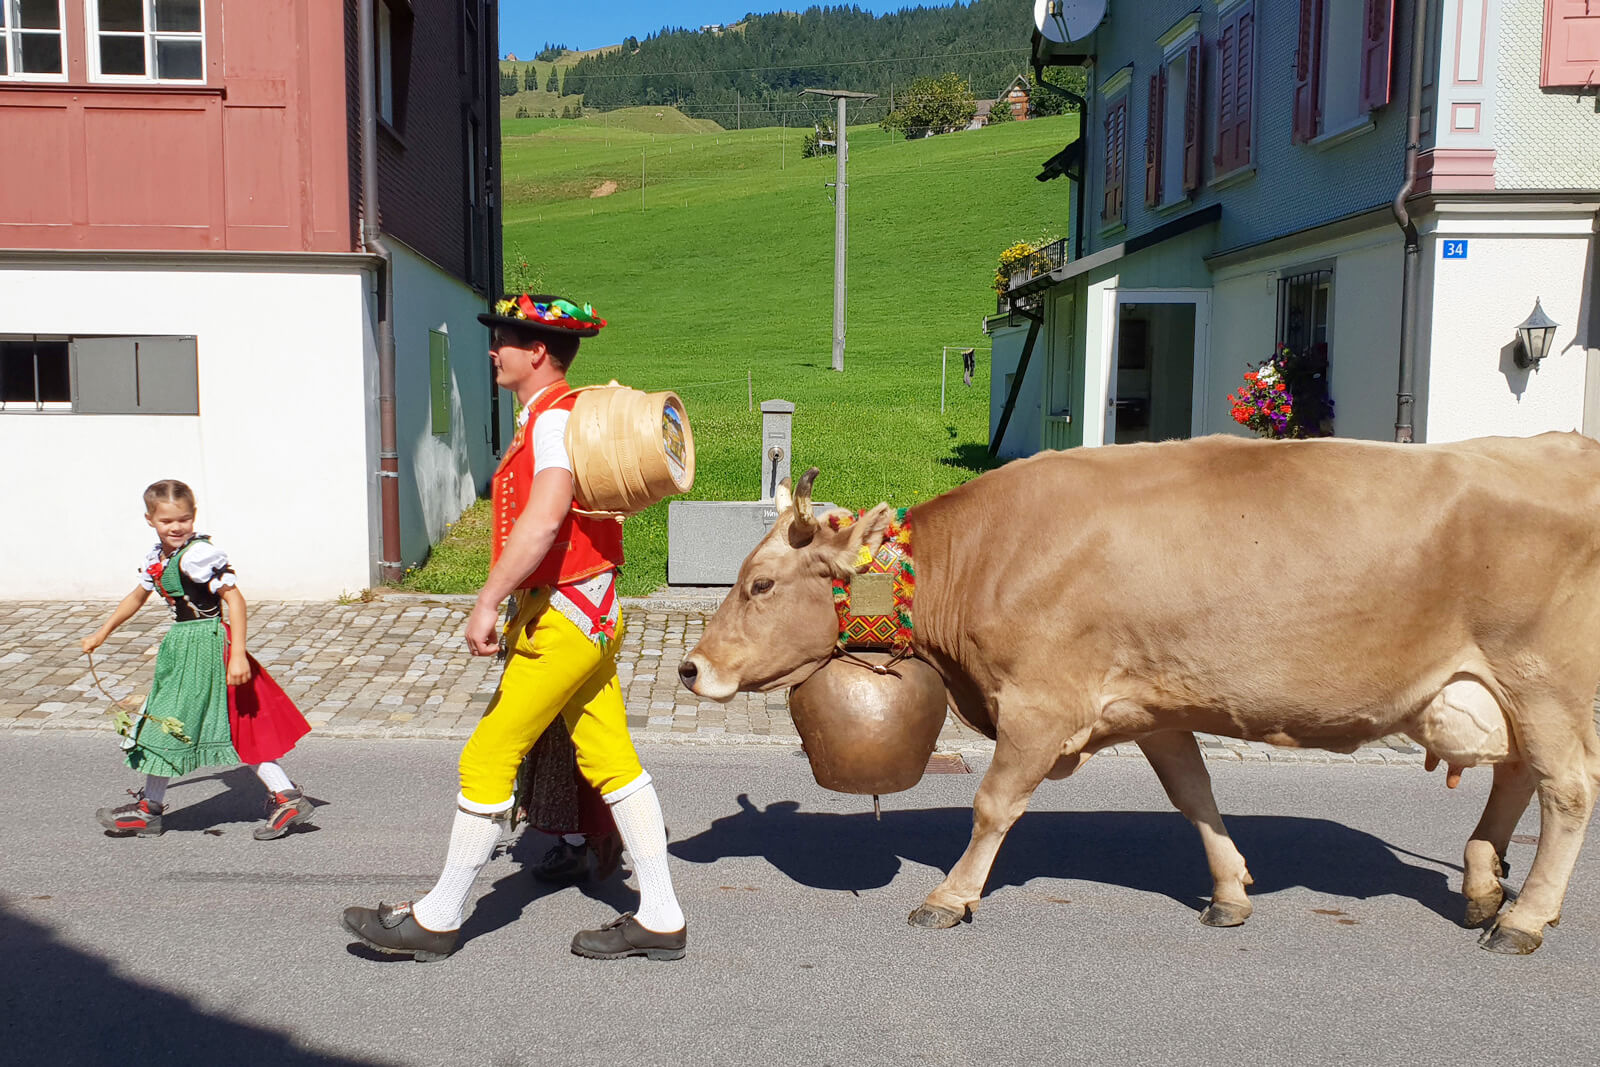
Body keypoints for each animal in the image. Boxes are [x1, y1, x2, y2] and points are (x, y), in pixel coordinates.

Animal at [681, 435, 1600, 959]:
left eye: (760, 583)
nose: (691, 668)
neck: (986, 553)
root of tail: (1563, 439)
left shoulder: (1041, 702)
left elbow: (992, 804)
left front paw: (948, 896)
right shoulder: (1155, 707)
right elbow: (1194, 796)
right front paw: (1230, 893)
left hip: (1546, 679)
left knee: (1565, 790)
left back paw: (1522, 918)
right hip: (1501, 683)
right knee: (1515, 774)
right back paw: (1482, 883)